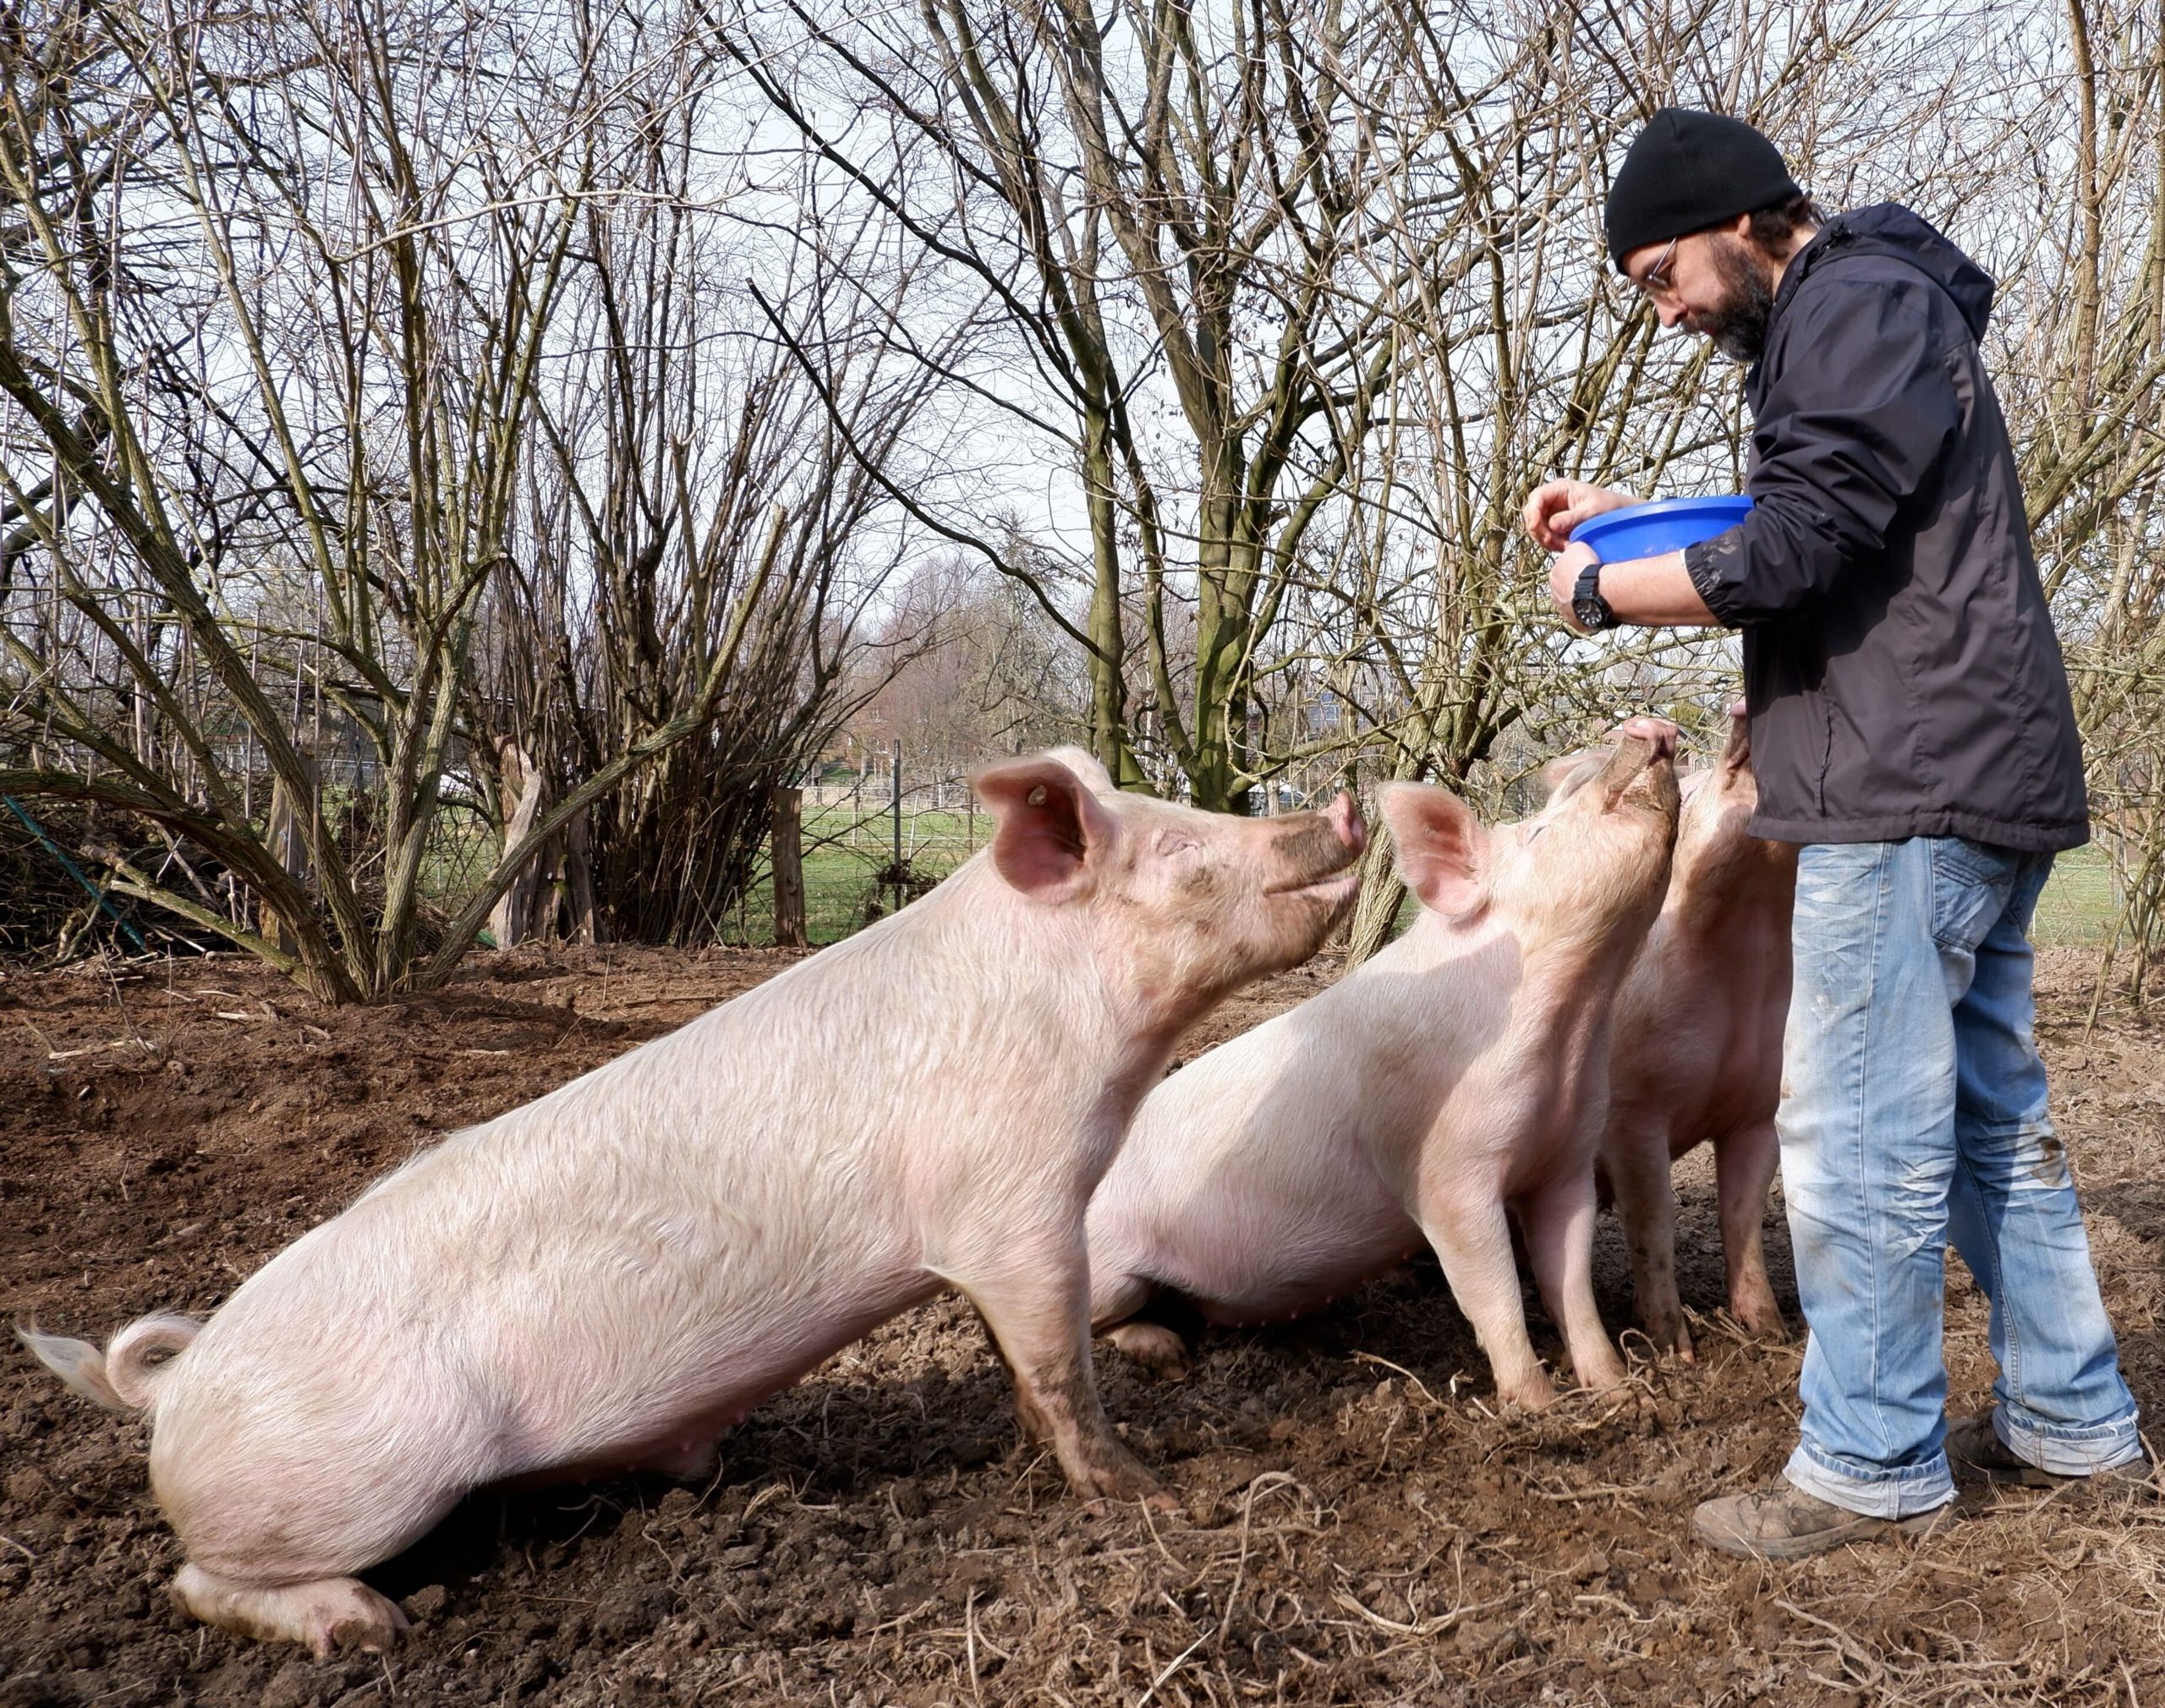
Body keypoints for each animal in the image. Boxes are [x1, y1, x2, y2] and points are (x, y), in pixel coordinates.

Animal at [25, 744, 1359, 1653]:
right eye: (1176, 853)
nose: (1342, 808)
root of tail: (173, 1388)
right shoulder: (1011, 1202)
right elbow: (1056, 1365)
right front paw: (1156, 1492)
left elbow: (1022, 1361)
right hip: (364, 1479)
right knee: (194, 1580)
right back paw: (369, 1625)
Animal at [1091, 714, 1680, 1403]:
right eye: (1540, 832)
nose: (1647, 727)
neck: (1570, 1031)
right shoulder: (1444, 1173)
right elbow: (1493, 1292)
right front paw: (1536, 1404)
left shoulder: (1566, 1162)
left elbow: (1572, 1285)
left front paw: (1617, 1389)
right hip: (1107, 1270)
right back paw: (1166, 1353)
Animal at [1602, 701, 1801, 1350]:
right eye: (1694, 792)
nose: (1744, 704)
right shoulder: (1631, 1114)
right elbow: (1653, 1221)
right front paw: (1671, 1347)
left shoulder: (1760, 1108)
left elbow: (1741, 1215)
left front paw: (1771, 1334)